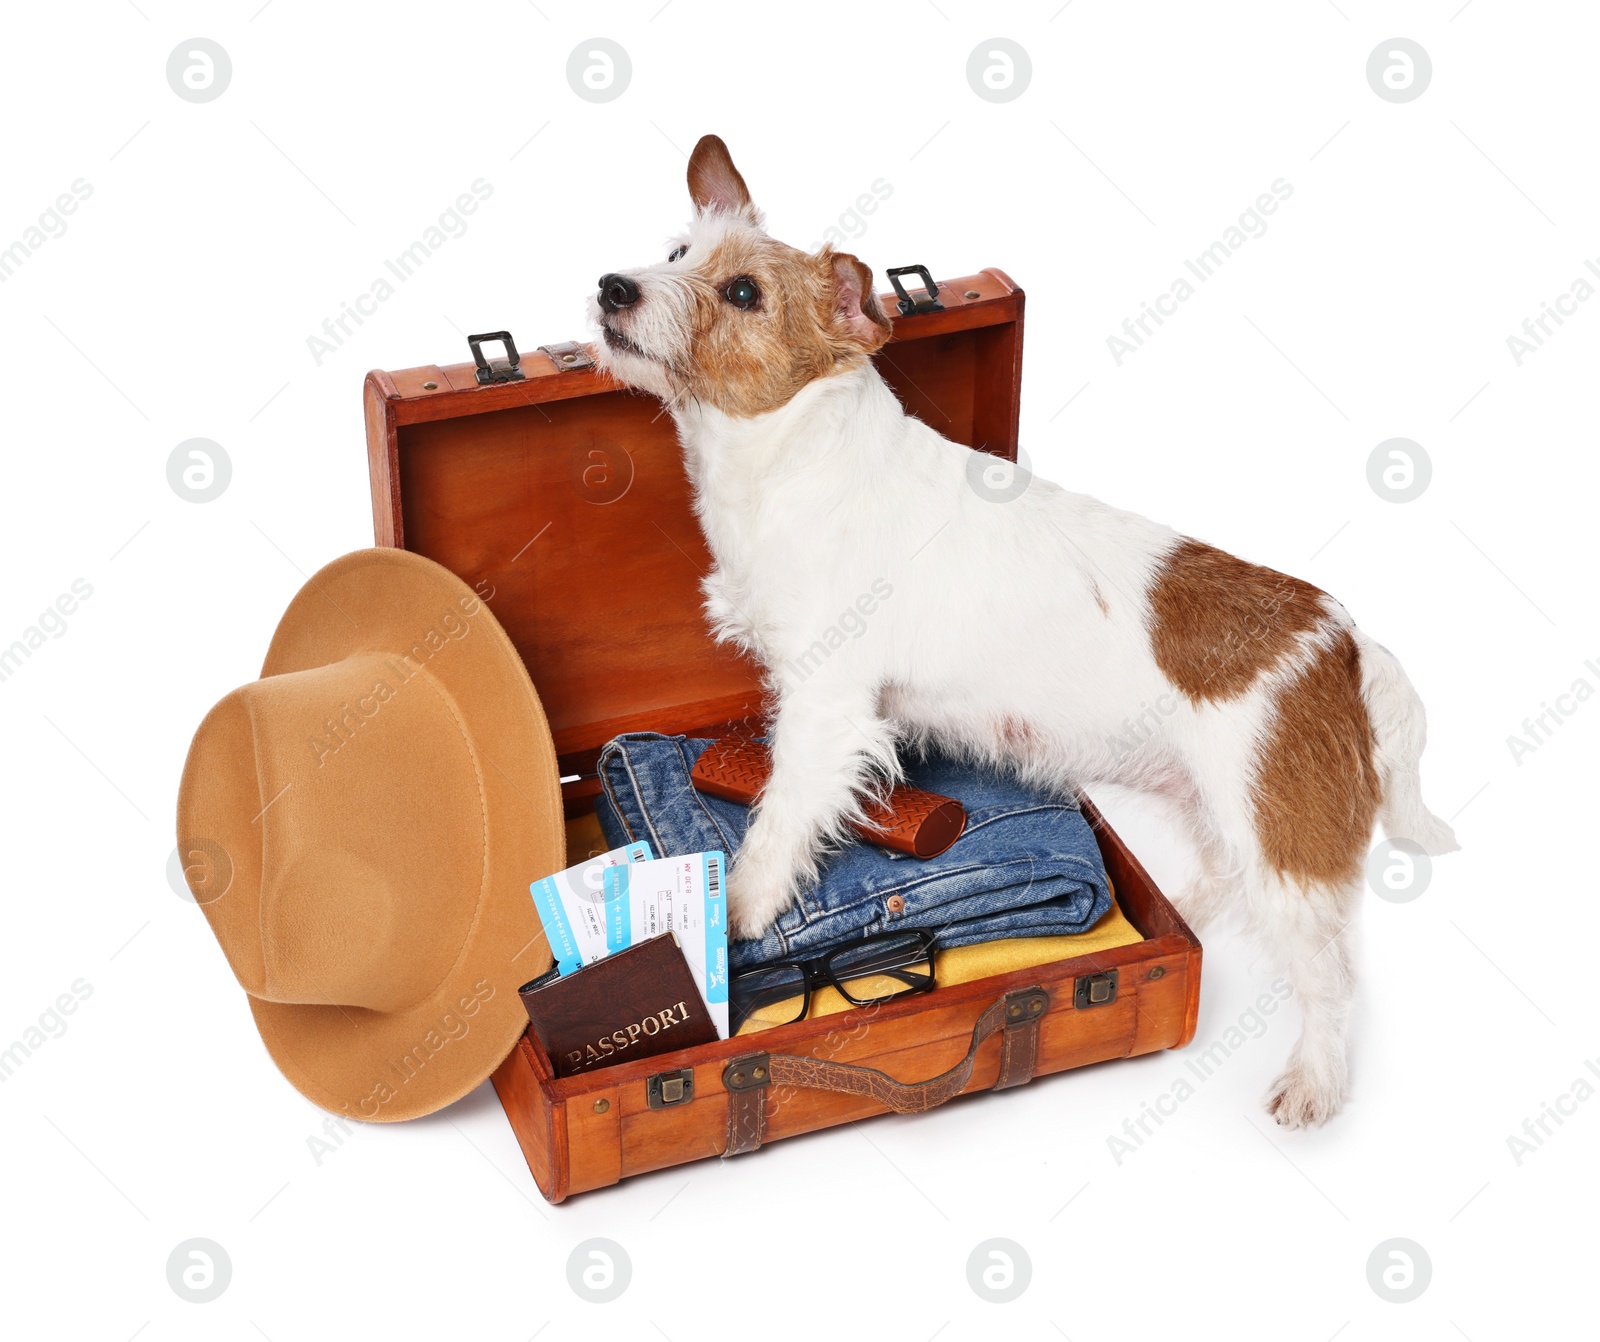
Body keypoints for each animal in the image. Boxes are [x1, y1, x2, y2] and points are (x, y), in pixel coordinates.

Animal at [592, 136, 1465, 1126]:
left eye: (744, 292)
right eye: (674, 254)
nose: (612, 287)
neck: (794, 457)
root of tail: (1346, 643)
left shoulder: (825, 712)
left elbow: (779, 821)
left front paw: (737, 911)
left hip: (1284, 840)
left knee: (1328, 976)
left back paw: (1315, 1078)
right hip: (1222, 804)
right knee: (1229, 879)